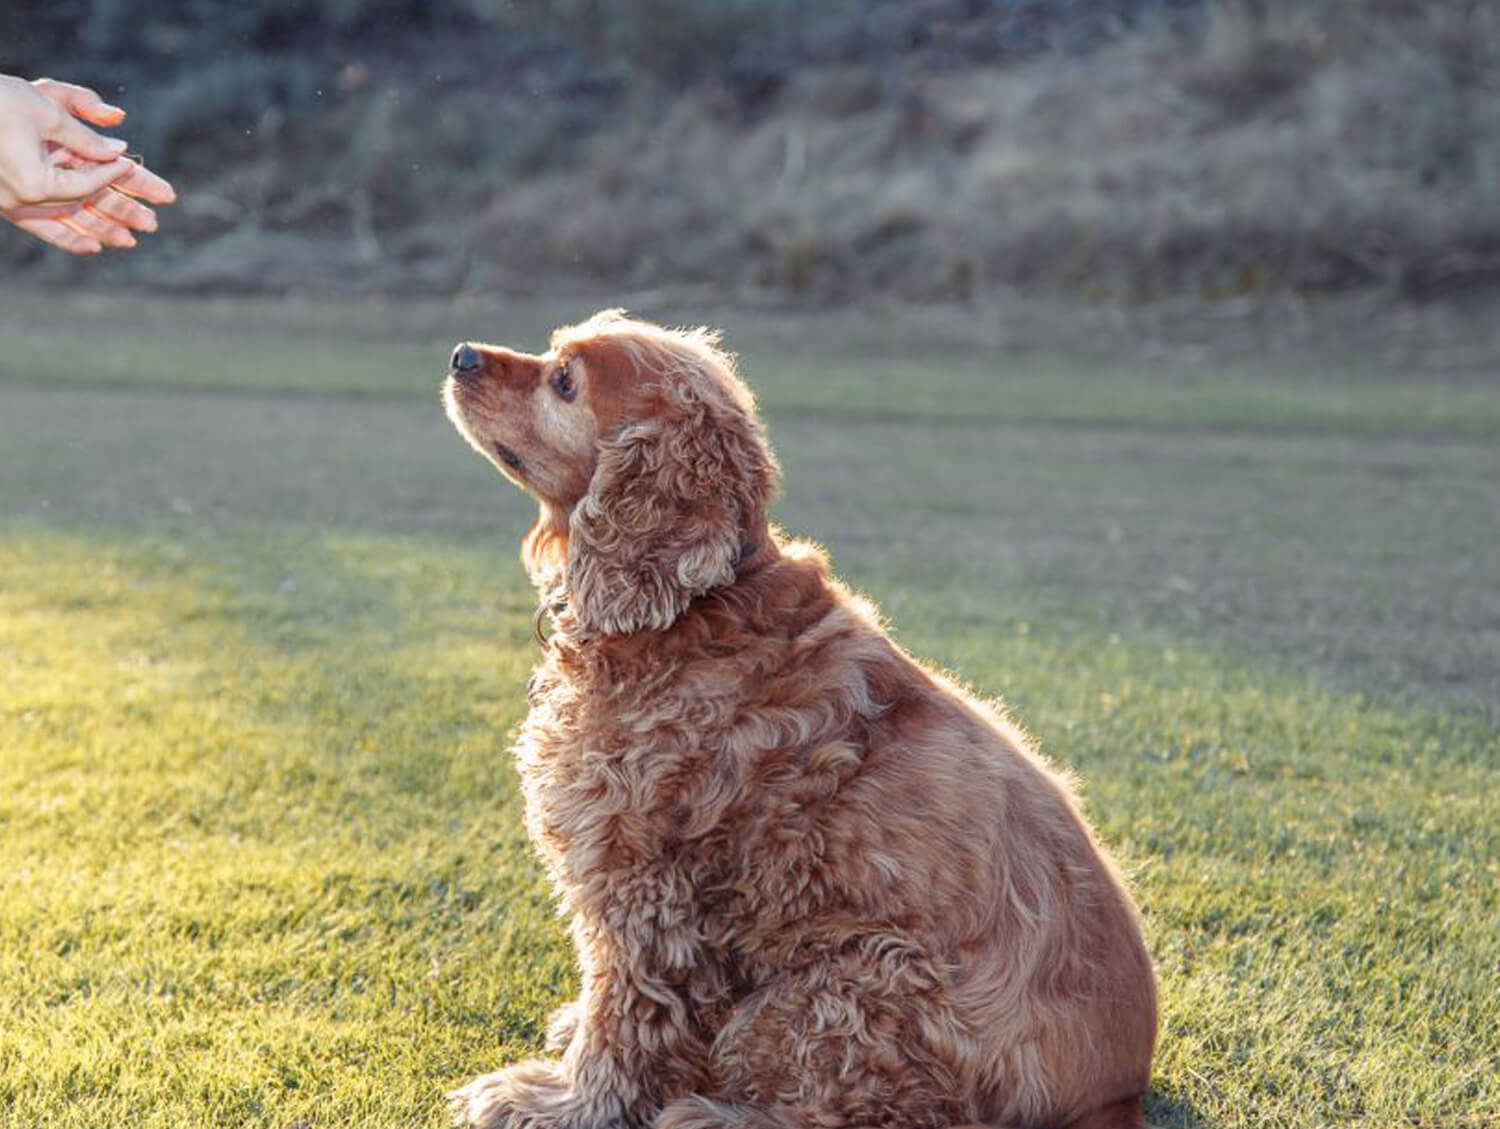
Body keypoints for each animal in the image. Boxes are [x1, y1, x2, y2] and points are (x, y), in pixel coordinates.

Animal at [438, 310, 1152, 1127]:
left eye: (564, 382)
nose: (460, 354)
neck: (694, 602)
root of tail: (1117, 1097)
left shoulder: (643, 885)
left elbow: (627, 1017)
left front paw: (560, 1100)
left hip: (846, 986)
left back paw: (707, 1114)